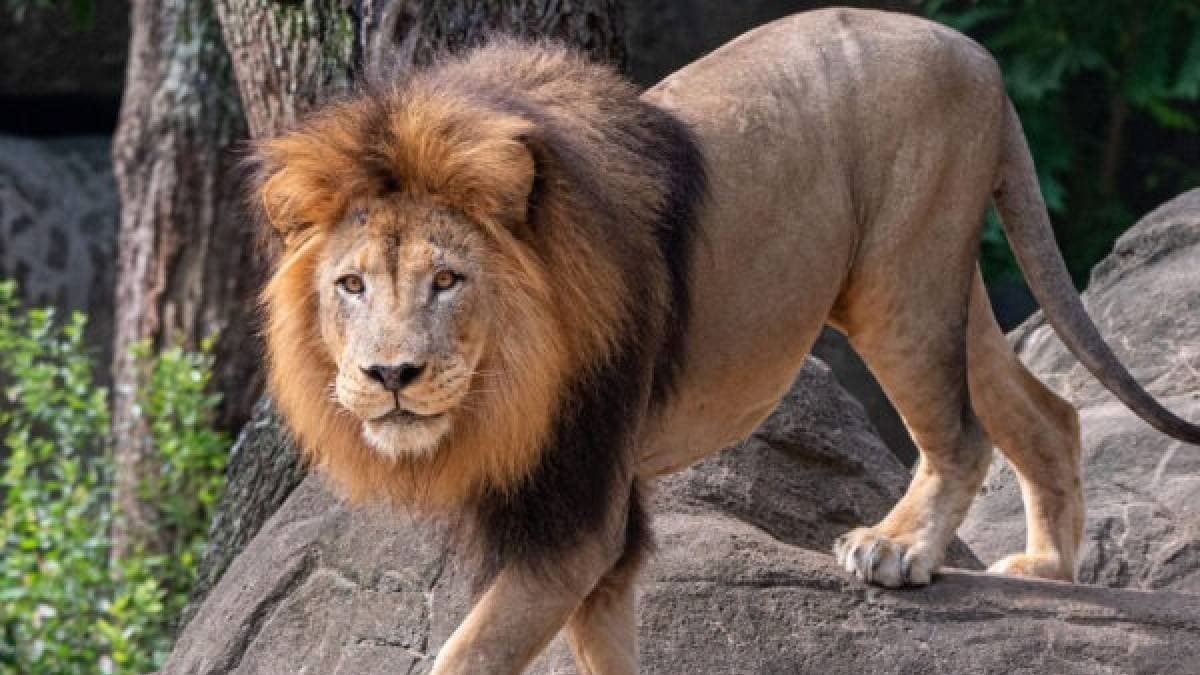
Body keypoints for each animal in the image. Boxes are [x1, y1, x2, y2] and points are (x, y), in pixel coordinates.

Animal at [253, 8, 1200, 674]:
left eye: (448, 280)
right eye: (351, 285)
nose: (391, 373)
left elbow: (469, 651)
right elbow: (603, 646)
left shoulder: (580, 512)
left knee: (962, 433)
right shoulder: (595, 532)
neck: (511, 375)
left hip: (900, 279)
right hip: (937, 284)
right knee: (1047, 411)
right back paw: (1046, 568)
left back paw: (898, 548)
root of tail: (982, 60)